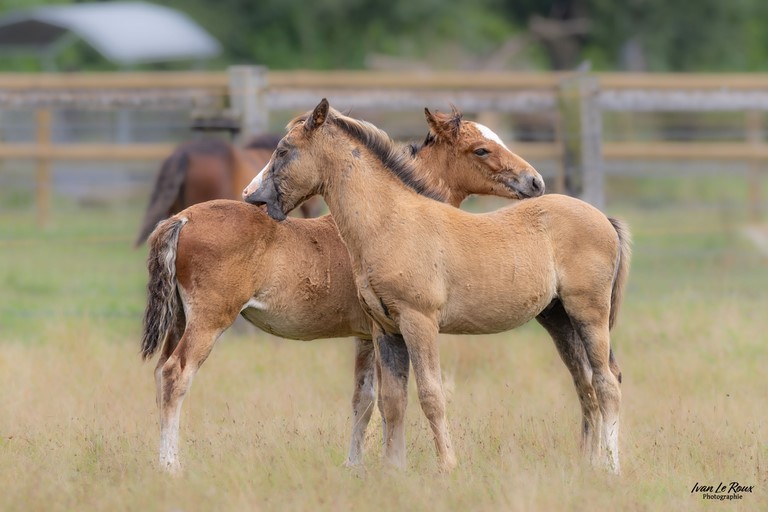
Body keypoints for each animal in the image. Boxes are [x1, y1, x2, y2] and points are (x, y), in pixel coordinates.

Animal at [244, 99, 631, 474]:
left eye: (283, 150)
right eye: (481, 149)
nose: (254, 198)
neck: (390, 222)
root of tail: (604, 219)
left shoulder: (420, 322)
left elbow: (431, 395)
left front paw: (447, 466)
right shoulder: (386, 330)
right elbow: (392, 401)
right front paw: (393, 470)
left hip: (589, 313)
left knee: (606, 384)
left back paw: (611, 467)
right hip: (558, 318)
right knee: (585, 383)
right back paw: (589, 464)